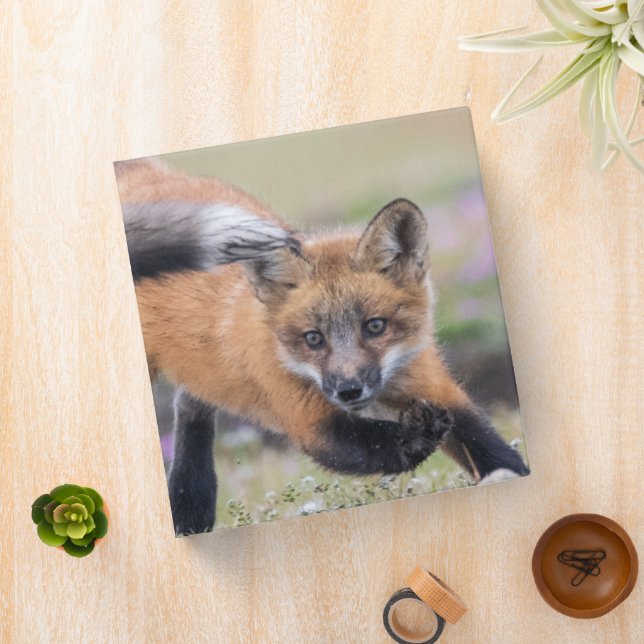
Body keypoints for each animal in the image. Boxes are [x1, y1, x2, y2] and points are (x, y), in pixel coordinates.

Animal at [115, 159, 529, 535]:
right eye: (313, 338)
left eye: (375, 326)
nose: (349, 390)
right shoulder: (307, 417)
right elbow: (372, 445)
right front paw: (417, 436)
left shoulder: (431, 384)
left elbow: (489, 445)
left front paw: (516, 473)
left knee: (190, 409)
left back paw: (190, 511)